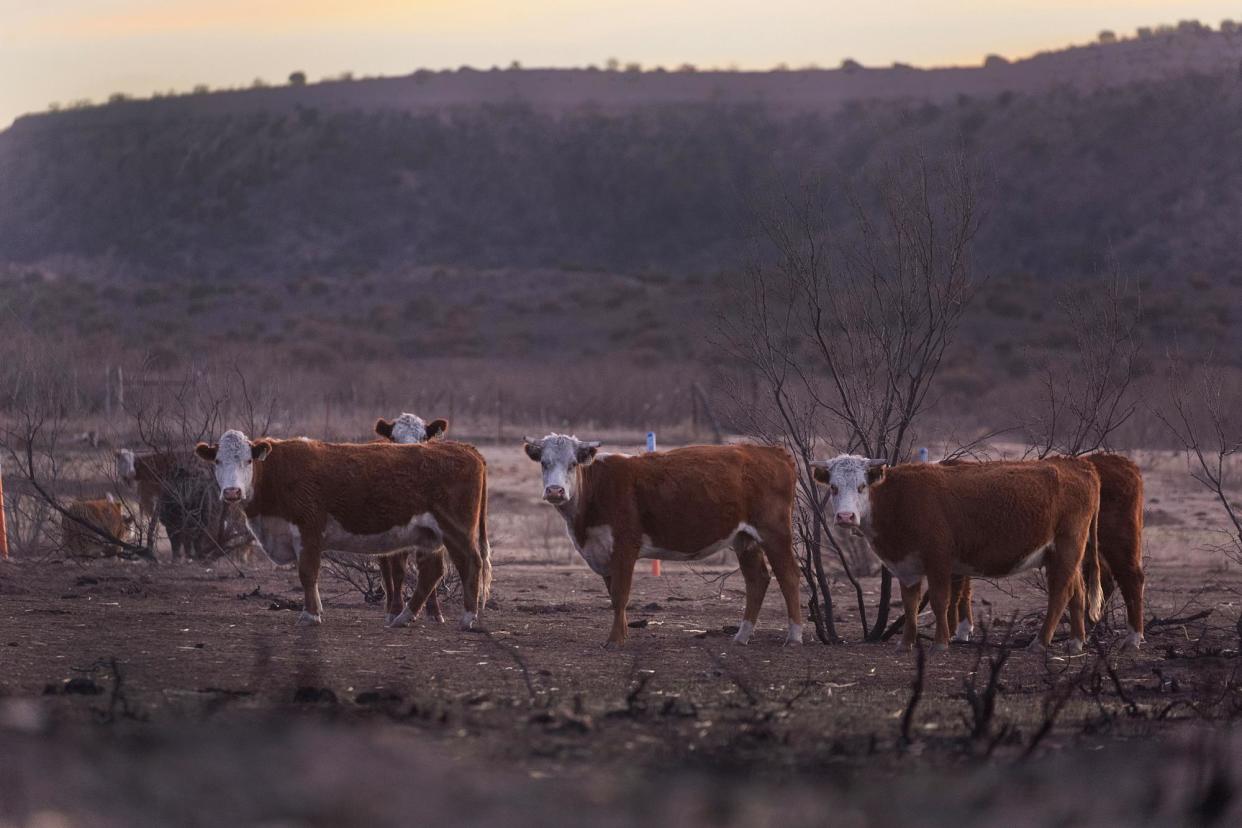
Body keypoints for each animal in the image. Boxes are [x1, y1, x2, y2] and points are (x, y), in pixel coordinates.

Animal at [193, 431, 489, 630]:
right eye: (217, 461)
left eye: (248, 461)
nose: (232, 492)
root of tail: (465, 448)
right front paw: (316, 610)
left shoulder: (309, 529)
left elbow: (307, 573)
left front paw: (310, 615)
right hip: (430, 535)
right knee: (432, 572)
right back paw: (403, 617)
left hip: (456, 529)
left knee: (470, 563)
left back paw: (467, 618)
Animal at [526, 434, 804, 645]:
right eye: (544, 463)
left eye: (573, 463)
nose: (555, 491)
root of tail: (772, 452)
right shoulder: (603, 551)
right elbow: (613, 594)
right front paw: (623, 633)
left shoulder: (625, 546)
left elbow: (620, 594)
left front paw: (615, 640)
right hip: (744, 539)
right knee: (757, 580)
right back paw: (742, 636)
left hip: (775, 533)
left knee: (789, 576)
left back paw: (794, 636)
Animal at [814, 454, 1107, 655]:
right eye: (833, 487)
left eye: (862, 486)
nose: (845, 517)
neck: (899, 499)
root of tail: (1078, 465)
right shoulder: (906, 566)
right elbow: (910, 604)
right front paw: (906, 643)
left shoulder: (939, 561)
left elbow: (940, 601)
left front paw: (941, 643)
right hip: (1063, 556)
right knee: (1077, 591)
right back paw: (1075, 642)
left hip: (1067, 548)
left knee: (1060, 594)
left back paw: (1040, 642)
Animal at [948, 454, 1142, 655]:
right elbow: (963, 588)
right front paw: (963, 630)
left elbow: (955, 590)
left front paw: (956, 631)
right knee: (1091, 586)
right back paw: (1082, 637)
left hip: (1115, 544)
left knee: (1128, 579)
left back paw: (1131, 639)